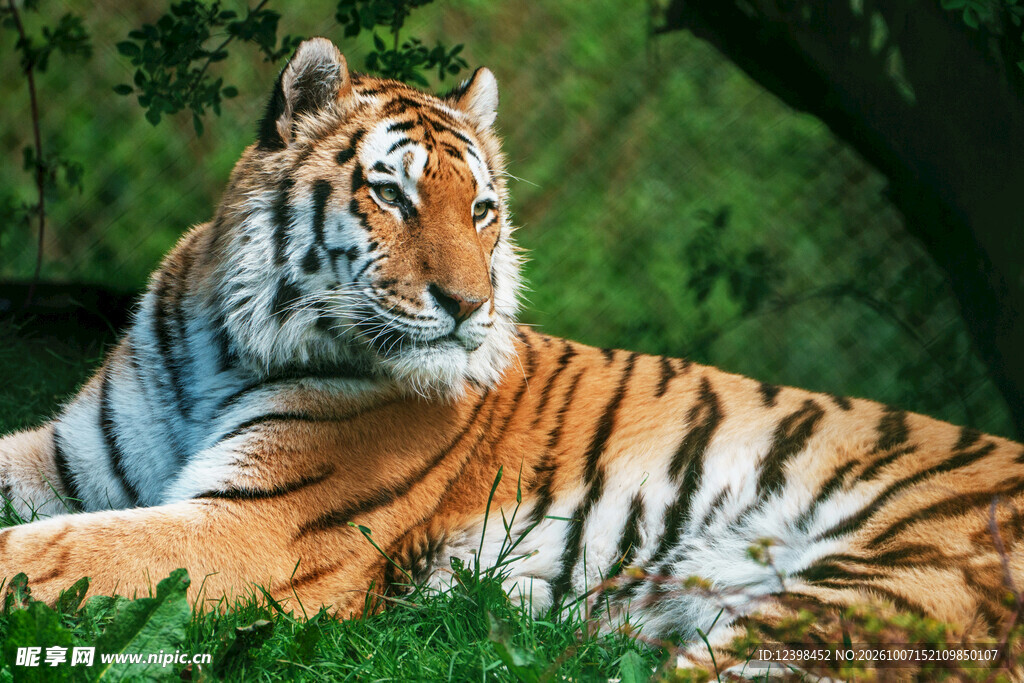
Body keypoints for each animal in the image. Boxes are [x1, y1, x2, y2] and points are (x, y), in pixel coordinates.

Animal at [2, 36, 1023, 673]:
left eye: (482, 209)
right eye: (392, 195)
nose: (469, 307)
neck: (228, 345)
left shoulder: (254, 529)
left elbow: (54, 553)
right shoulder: (70, 458)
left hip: (854, 597)